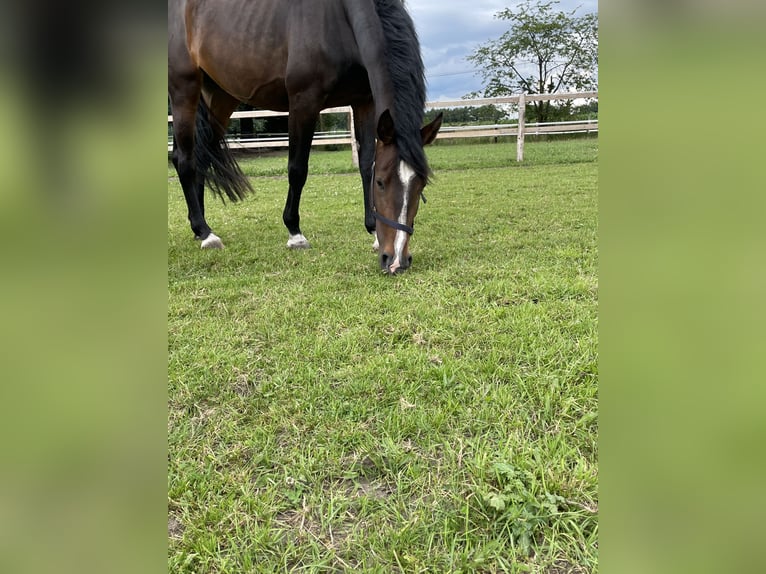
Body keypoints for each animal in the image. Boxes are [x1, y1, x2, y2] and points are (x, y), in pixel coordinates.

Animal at [168, 0, 444, 274]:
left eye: (421, 184)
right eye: (382, 183)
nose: (396, 260)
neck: (340, 19)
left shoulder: (364, 102)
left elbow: (366, 164)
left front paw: (374, 232)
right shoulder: (304, 102)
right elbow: (297, 169)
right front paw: (295, 233)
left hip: (221, 97)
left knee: (202, 157)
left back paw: (199, 227)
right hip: (184, 88)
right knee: (184, 160)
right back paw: (206, 233)